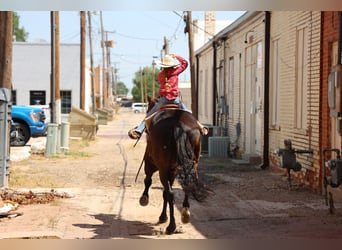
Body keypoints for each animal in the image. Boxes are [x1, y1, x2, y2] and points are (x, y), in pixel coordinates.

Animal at [138, 96, 210, 233]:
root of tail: (178, 124)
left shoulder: (151, 163)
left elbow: (148, 180)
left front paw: (144, 199)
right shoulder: (173, 170)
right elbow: (165, 192)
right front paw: (163, 216)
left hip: (162, 168)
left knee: (170, 193)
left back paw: (171, 226)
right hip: (192, 164)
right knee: (186, 185)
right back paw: (185, 213)